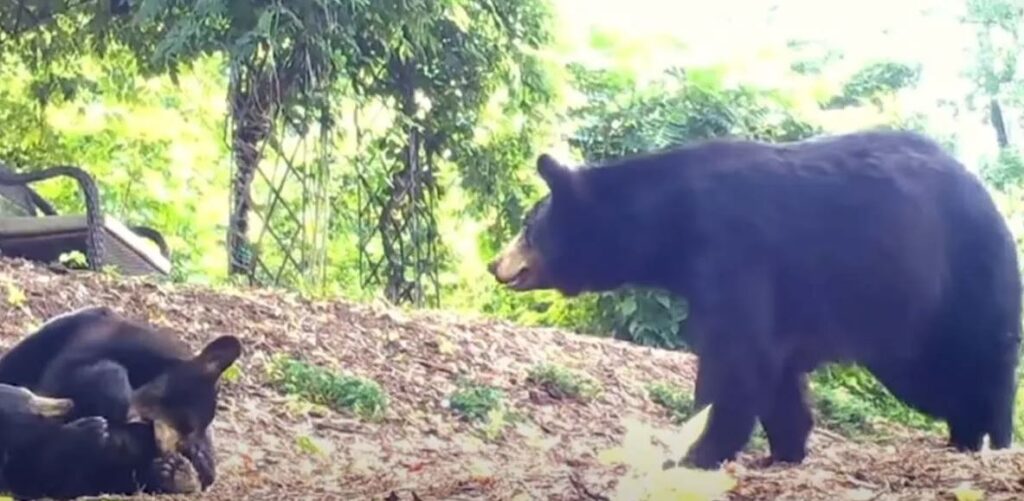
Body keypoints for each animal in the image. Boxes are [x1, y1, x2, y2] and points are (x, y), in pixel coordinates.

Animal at [487, 129, 1024, 469]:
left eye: (528, 227)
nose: (495, 264)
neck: (669, 222)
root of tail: (989, 197)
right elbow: (775, 370)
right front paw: (784, 450)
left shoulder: (736, 250)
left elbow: (736, 359)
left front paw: (694, 452)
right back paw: (963, 437)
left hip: (958, 281)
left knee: (977, 361)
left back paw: (991, 439)